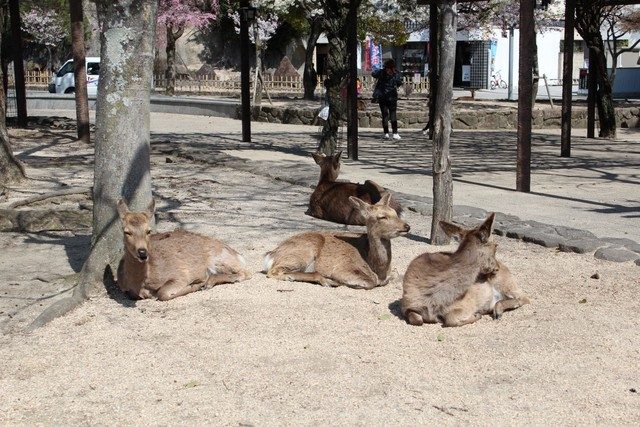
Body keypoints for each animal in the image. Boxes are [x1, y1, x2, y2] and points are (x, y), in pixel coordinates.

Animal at [116, 200, 251, 300]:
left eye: (148, 230)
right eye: (127, 232)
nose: (143, 253)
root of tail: (239, 255)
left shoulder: (180, 274)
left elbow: (163, 293)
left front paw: (197, 283)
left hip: (219, 258)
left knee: (245, 272)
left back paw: (208, 282)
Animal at [264, 195, 410, 290]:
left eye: (395, 213)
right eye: (382, 217)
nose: (407, 226)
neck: (379, 269)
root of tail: (270, 255)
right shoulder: (343, 268)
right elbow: (370, 282)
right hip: (304, 251)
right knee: (273, 271)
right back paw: (326, 280)